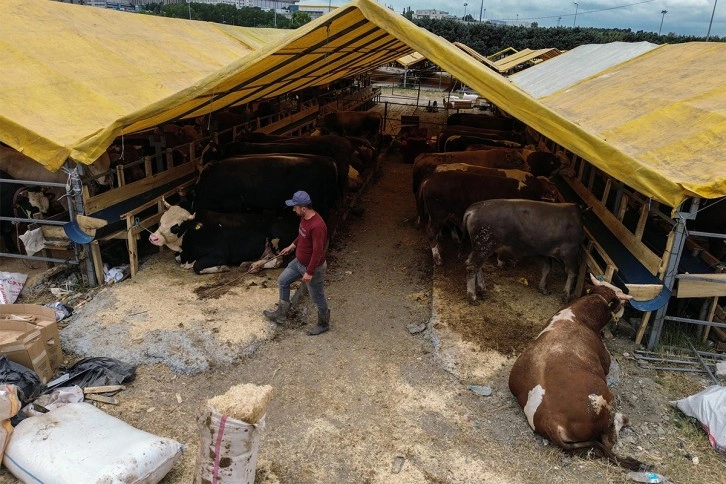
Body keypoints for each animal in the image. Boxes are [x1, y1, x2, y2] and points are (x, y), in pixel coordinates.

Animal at [149, 200, 298, 274]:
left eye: (176, 226)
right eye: (161, 221)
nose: (153, 238)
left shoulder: (219, 254)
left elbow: (197, 266)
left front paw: (222, 268)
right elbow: (177, 258)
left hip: (278, 242)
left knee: (278, 261)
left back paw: (254, 266)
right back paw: (250, 263)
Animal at [510, 274, 652, 470]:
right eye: (621, 302)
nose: (624, 310)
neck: (578, 316)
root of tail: (549, 419)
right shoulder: (605, 361)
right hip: (606, 400)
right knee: (608, 440)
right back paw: (623, 419)